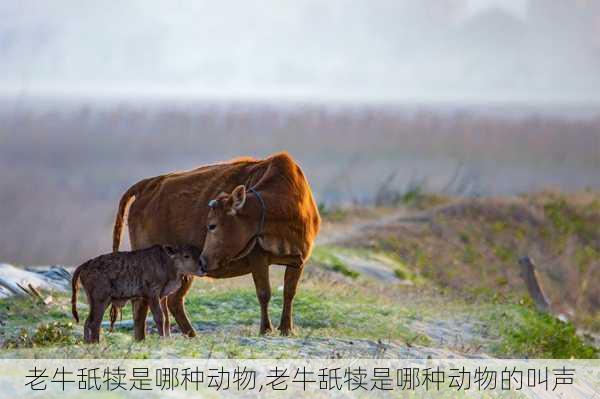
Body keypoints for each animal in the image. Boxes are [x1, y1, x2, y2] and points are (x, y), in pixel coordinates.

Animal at [71, 244, 203, 344]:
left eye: (199, 253)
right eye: (186, 256)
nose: (202, 269)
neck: (167, 263)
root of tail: (84, 265)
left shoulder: (162, 297)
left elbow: (166, 318)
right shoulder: (152, 294)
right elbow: (159, 317)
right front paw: (162, 338)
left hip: (99, 301)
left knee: (88, 321)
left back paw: (87, 343)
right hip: (101, 299)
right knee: (95, 322)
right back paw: (96, 343)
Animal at [110, 153, 322, 340]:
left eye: (212, 225)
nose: (203, 260)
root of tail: (148, 184)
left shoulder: (298, 260)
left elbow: (289, 293)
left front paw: (287, 329)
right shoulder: (258, 257)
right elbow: (264, 293)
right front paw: (266, 329)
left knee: (171, 301)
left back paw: (185, 335)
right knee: (144, 302)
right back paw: (143, 337)